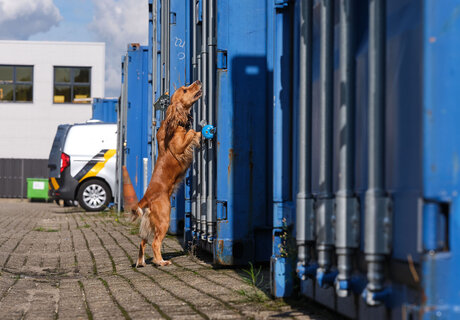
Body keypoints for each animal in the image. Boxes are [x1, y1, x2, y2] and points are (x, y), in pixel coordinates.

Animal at [124, 80, 201, 268]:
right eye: (185, 90)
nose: (198, 81)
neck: (175, 122)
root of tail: (146, 197)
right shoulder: (178, 147)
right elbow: (190, 134)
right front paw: (198, 132)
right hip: (164, 218)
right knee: (155, 242)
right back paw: (161, 261)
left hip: (151, 223)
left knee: (142, 241)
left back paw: (142, 262)